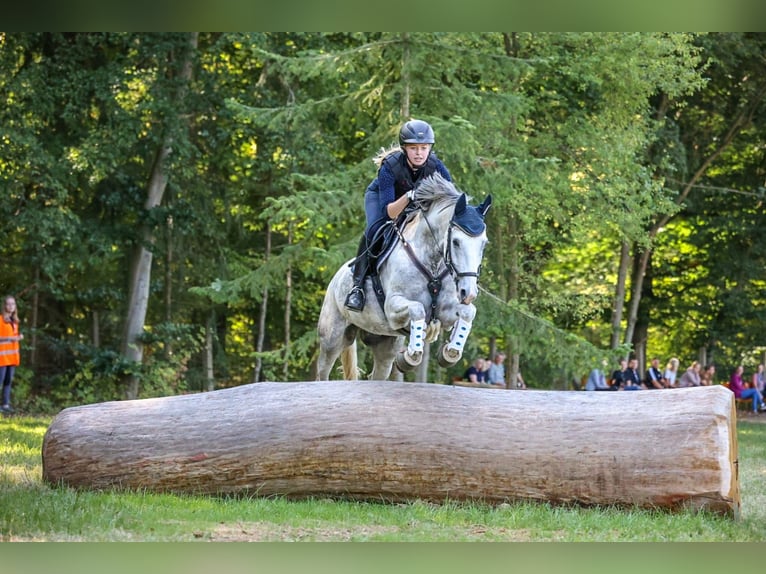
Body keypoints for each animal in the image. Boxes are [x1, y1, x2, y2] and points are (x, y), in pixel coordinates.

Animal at [316, 176, 492, 382]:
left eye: (484, 243)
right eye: (456, 242)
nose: (468, 292)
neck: (432, 261)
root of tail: (335, 279)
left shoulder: (445, 311)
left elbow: (468, 312)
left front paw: (450, 352)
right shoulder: (392, 307)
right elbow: (417, 309)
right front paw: (411, 357)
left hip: (384, 345)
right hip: (332, 337)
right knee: (322, 371)